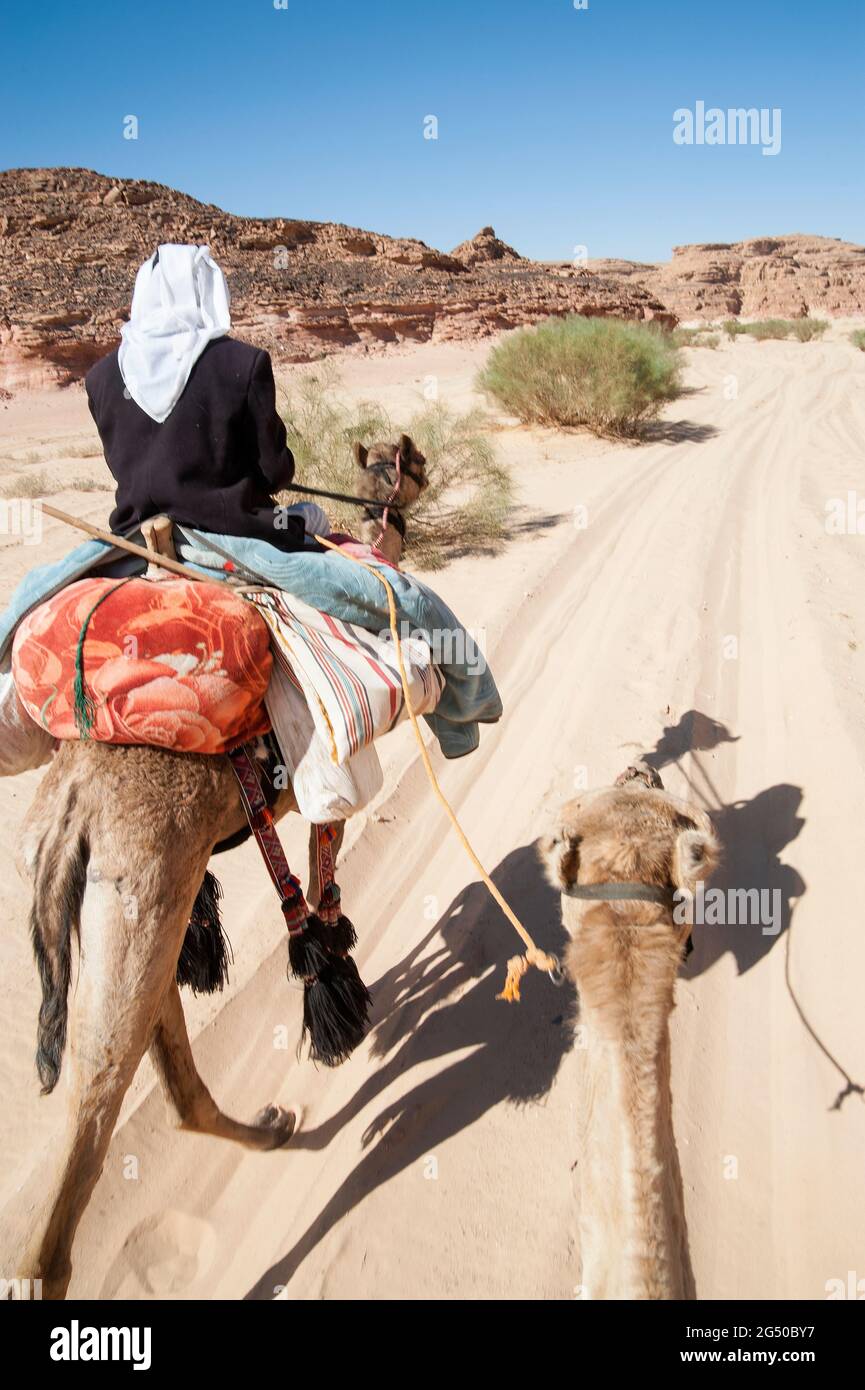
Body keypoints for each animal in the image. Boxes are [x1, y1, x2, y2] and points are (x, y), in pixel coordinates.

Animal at [8, 436, 427, 1300]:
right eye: (410, 464)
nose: (423, 477)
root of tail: (68, 812)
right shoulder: (327, 784)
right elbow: (323, 886)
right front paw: (338, 987)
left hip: (137, 912)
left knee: (169, 1074)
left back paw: (272, 1129)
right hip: (141, 896)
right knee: (94, 1112)